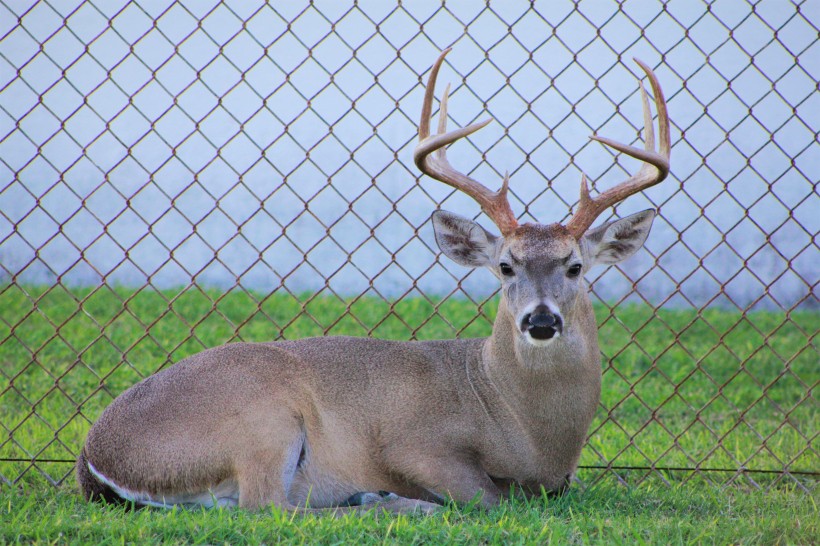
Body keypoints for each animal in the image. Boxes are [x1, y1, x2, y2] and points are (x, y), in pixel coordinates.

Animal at [75, 49, 672, 512]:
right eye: (505, 266)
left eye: (575, 266)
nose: (541, 320)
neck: (525, 429)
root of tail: (94, 458)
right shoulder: (412, 443)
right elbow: (487, 495)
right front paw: (400, 494)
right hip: (261, 417)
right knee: (267, 506)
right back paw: (382, 500)